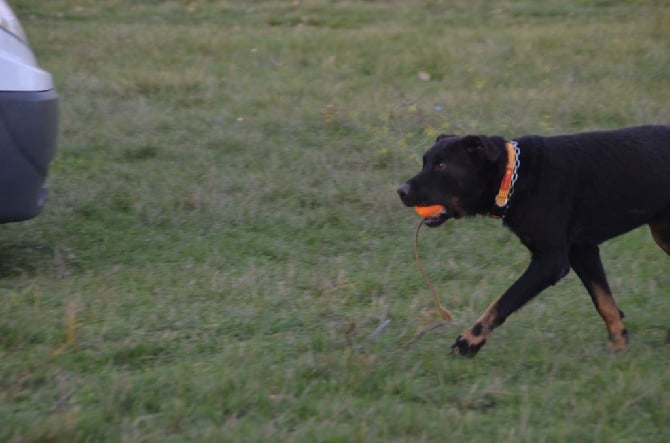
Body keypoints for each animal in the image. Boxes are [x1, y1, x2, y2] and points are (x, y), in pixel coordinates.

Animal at [400, 125, 670, 358]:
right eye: (425, 162)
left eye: (442, 165)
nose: (401, 190)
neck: (514, 177)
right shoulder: (582, 250)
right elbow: (604, 301)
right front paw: (619, 344)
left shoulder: (550, 261)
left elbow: (503, 301)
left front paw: (469, 341)